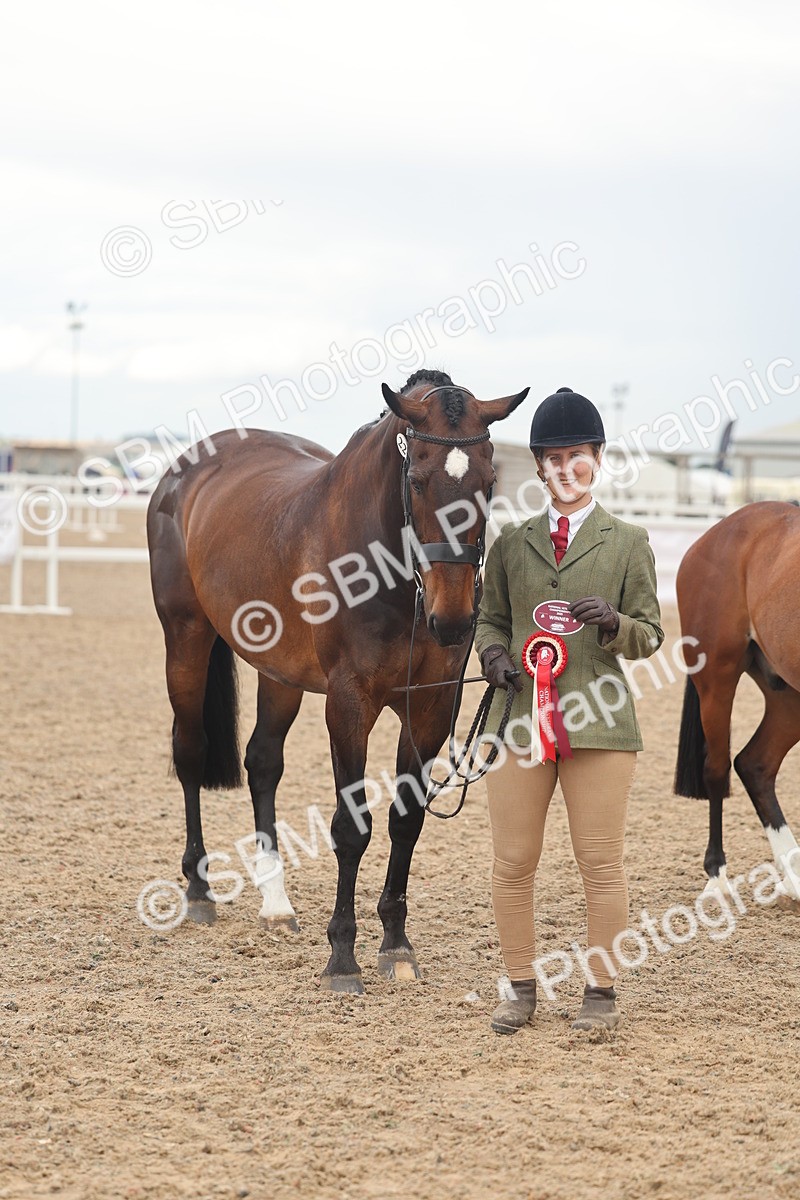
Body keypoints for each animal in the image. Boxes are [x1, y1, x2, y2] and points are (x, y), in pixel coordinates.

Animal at [147, 369, 529, 994]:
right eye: (417, 480)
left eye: (490, 482)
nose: (451, 619)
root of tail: (187, 468)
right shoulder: (349, 704)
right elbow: (353, 828)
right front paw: (343, 956)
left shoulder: (429, 708)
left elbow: (407, 820)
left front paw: (396, 945)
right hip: (186, 637)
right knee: (191, 750)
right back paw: (199, 889)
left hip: (279, 673)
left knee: (262, 763)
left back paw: (276, 905)